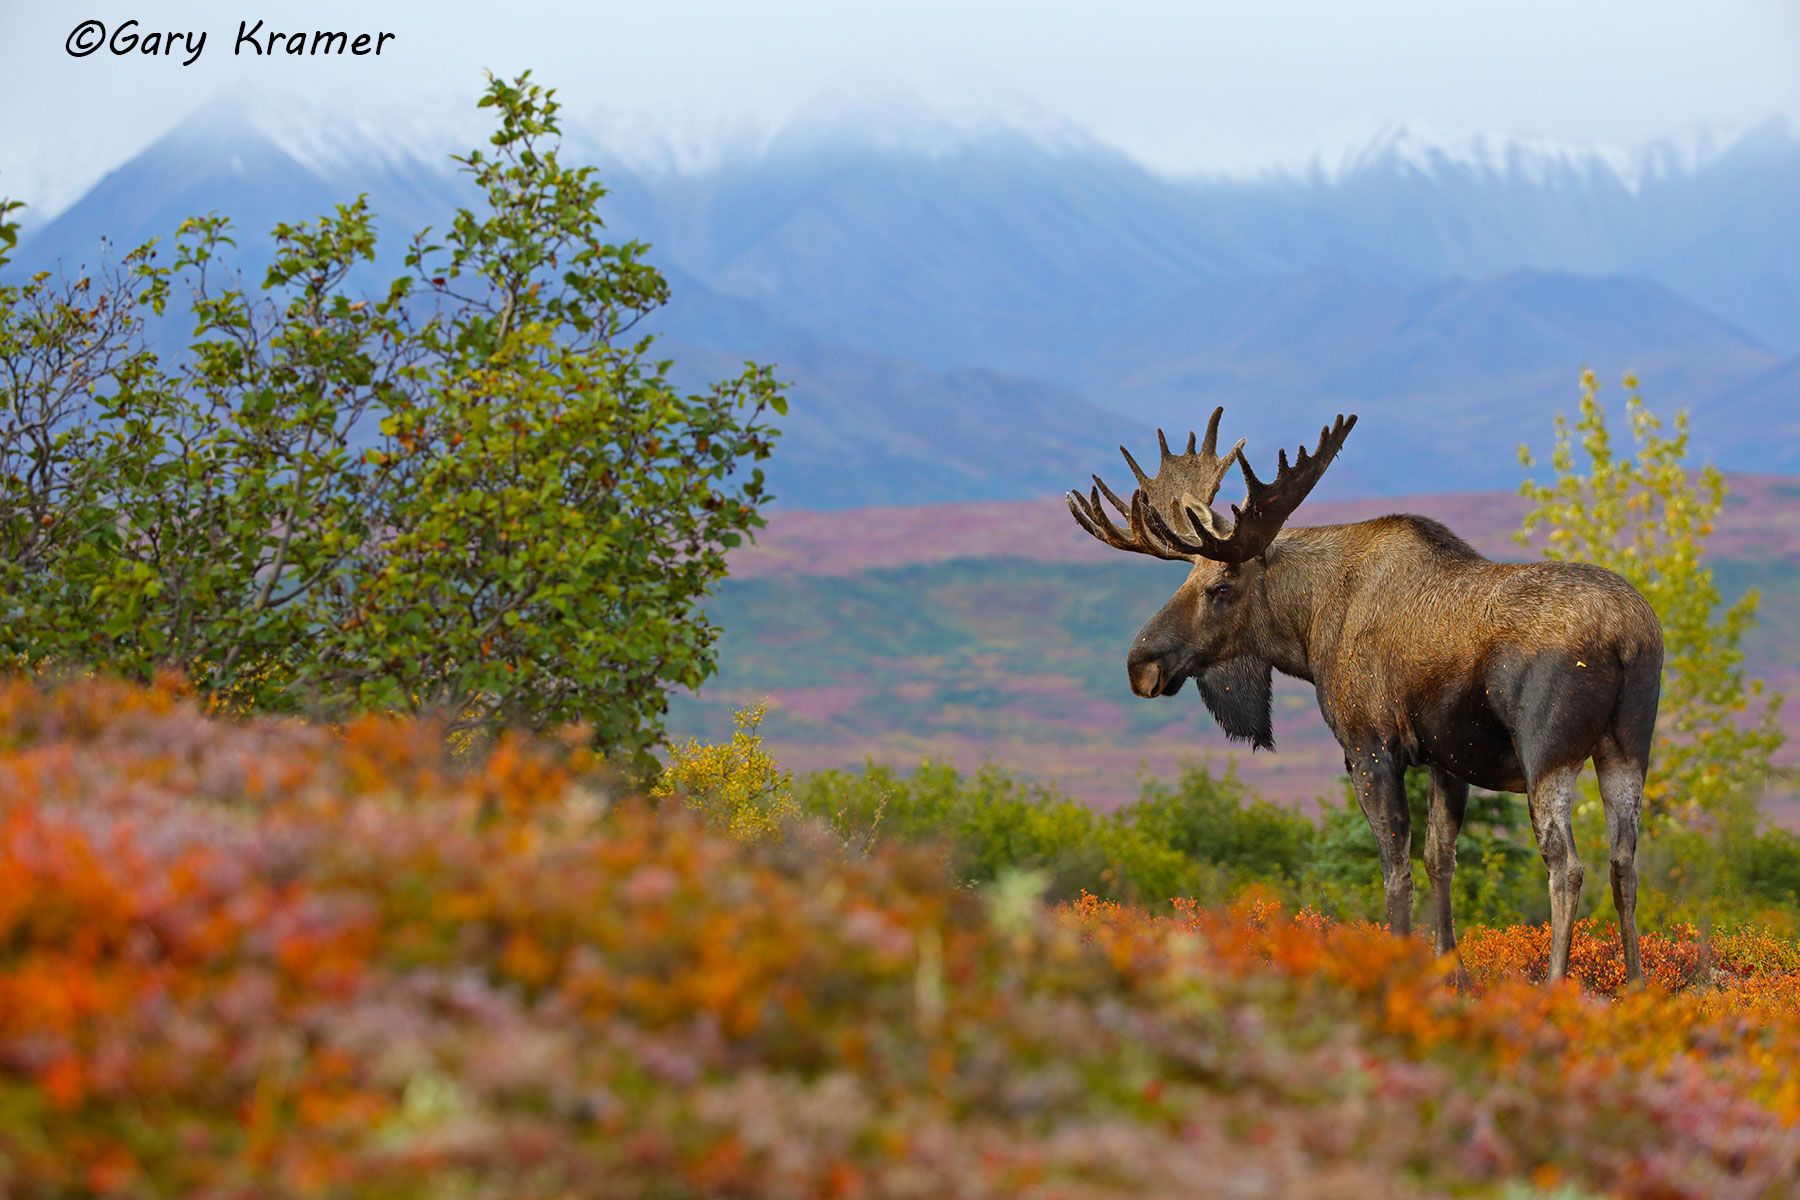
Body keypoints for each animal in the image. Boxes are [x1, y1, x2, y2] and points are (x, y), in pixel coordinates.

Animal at [1068, 408, 1663, 985]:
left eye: (1220, 588)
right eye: (1186, 581)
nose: (1140, 665)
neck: (1308, 631)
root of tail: (1627, 638)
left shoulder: (1369, 747)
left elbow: (1395, 871)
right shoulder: (1446, 759)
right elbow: (1439, 859)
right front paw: (1454, 977)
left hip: (1548, 754)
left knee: (1567, 866)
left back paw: (1556, 985)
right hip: (1628, 748)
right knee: (1624, 863)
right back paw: (1636, 985)